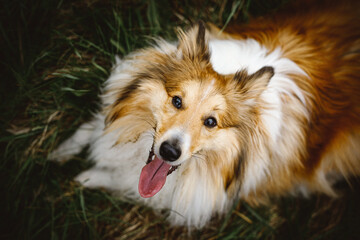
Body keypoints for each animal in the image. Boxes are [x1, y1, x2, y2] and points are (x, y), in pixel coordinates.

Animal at [50, 0, 360, 229]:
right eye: (177, 101)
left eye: (211, 122)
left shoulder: (195, 194)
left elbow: (124, 182)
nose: (169, 152)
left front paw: (86, 176)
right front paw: (61, 152)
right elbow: (94, 127)